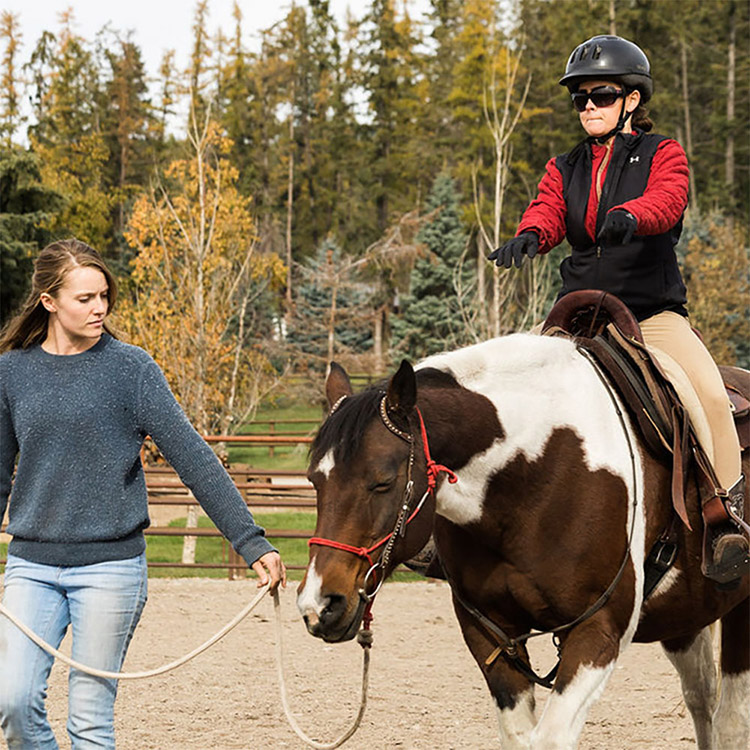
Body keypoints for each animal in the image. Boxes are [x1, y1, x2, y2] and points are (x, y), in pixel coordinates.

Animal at [296, 336, 748, 750]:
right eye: (314, 480)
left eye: (382, 482)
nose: (319, 604)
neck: (537, 473)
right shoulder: (493, 637)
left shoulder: (599, 632)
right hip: (685, 619)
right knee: (702, 700)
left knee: (730, 721)